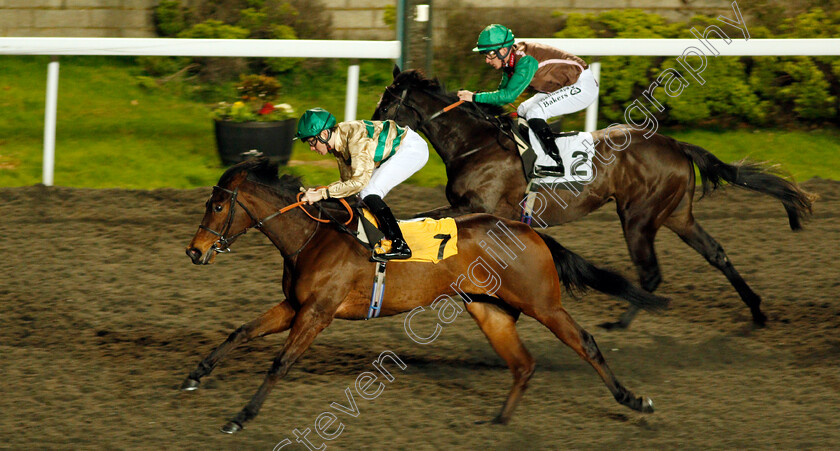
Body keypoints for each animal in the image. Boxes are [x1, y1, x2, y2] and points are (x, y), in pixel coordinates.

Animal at [185, 158, 668, 434]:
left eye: (218, 205)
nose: (195, 250)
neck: (312, 238)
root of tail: (528, 230)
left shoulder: (317, 313)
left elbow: (280, 363)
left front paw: (241, 417)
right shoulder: (294, 307)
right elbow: (240, 332)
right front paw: (196, 373)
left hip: (543, 303)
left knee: (584, 343)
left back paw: (633, 400)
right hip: (488, 310)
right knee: (523, 364)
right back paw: (498, 421)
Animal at [372, 68, 812, 328]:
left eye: (388, 100)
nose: (371, 125)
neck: (474, 144)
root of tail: (677, 144)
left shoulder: (477, 208)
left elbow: (427, 219)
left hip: (638, 217)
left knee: (651, 273)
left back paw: (621, 322)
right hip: (677, 215)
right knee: (716, 253)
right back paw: (756, 311)